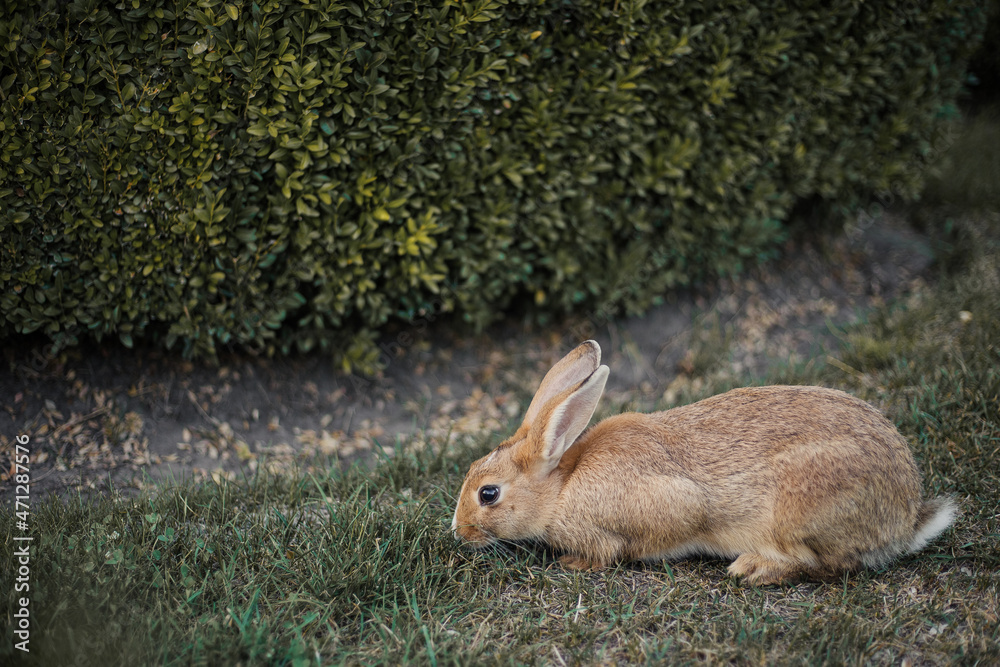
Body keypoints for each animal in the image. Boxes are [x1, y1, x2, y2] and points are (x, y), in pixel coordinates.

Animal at [451, 340, 956, 584]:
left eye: (488, 494)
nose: (458, 531)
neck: (562, 485)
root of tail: (905, 517)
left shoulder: (668, 506)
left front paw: (574, 563)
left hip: (802, 513)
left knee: (827, 566)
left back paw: (754, 570)